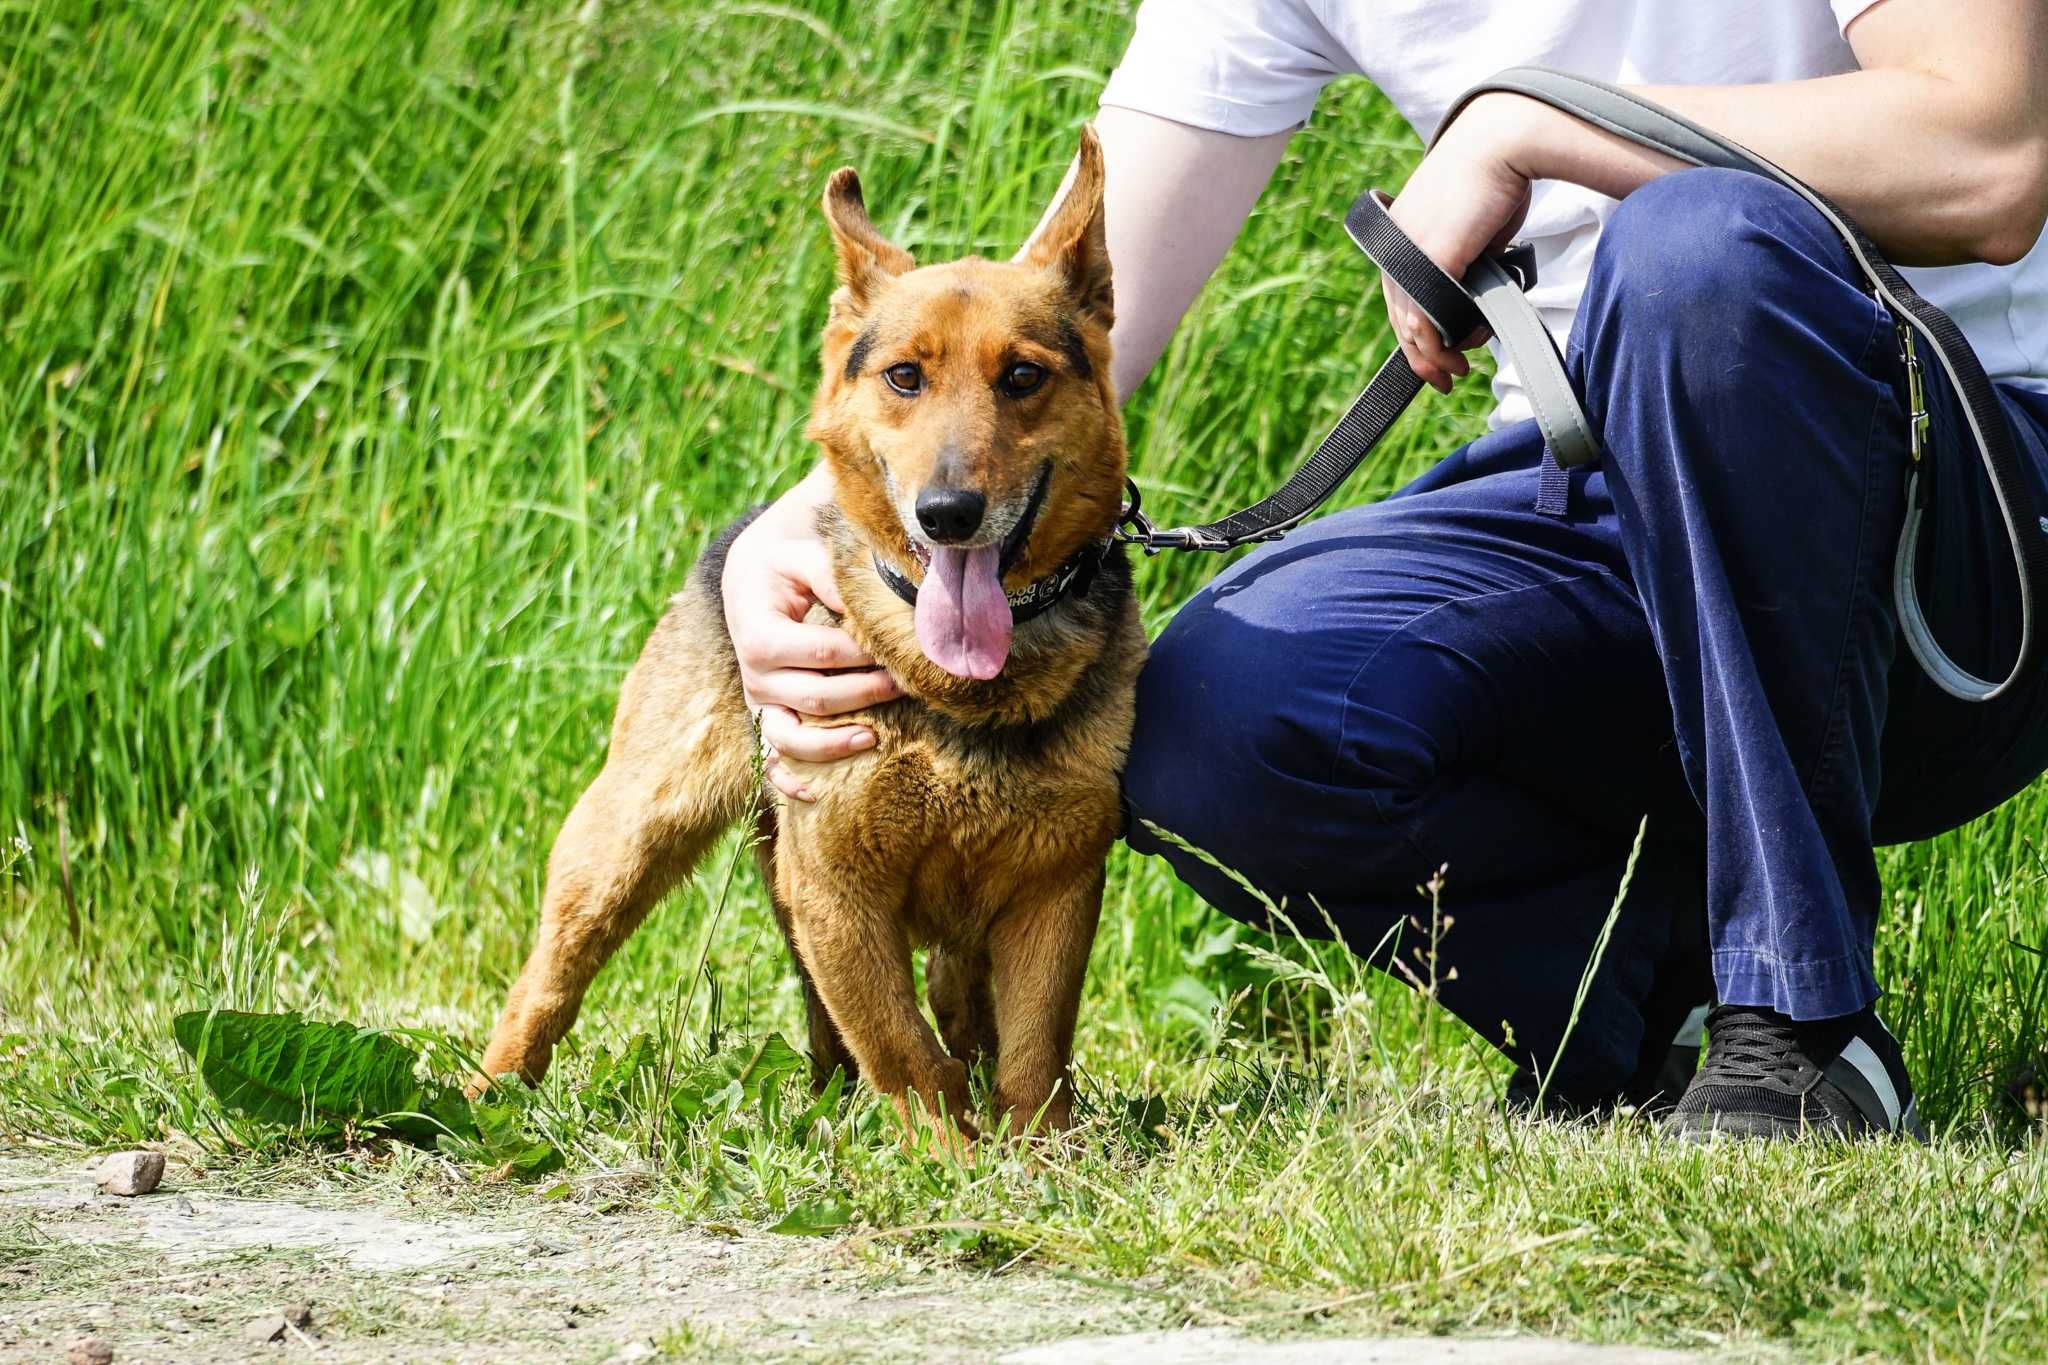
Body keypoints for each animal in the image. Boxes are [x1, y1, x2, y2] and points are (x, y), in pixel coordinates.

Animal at [479, 130, 1146, 1154]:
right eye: (905, 376)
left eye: (1023, 376)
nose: (948, 513)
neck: (955, 691)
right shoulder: (836, 886)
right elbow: (906, 1055)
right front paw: (952, 1162)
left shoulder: (1054, 887)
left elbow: (1034, 1055)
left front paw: (1037, 1162)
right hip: (624, 843)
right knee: (547, 983)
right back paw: (485, 1099)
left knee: (944, 1010)